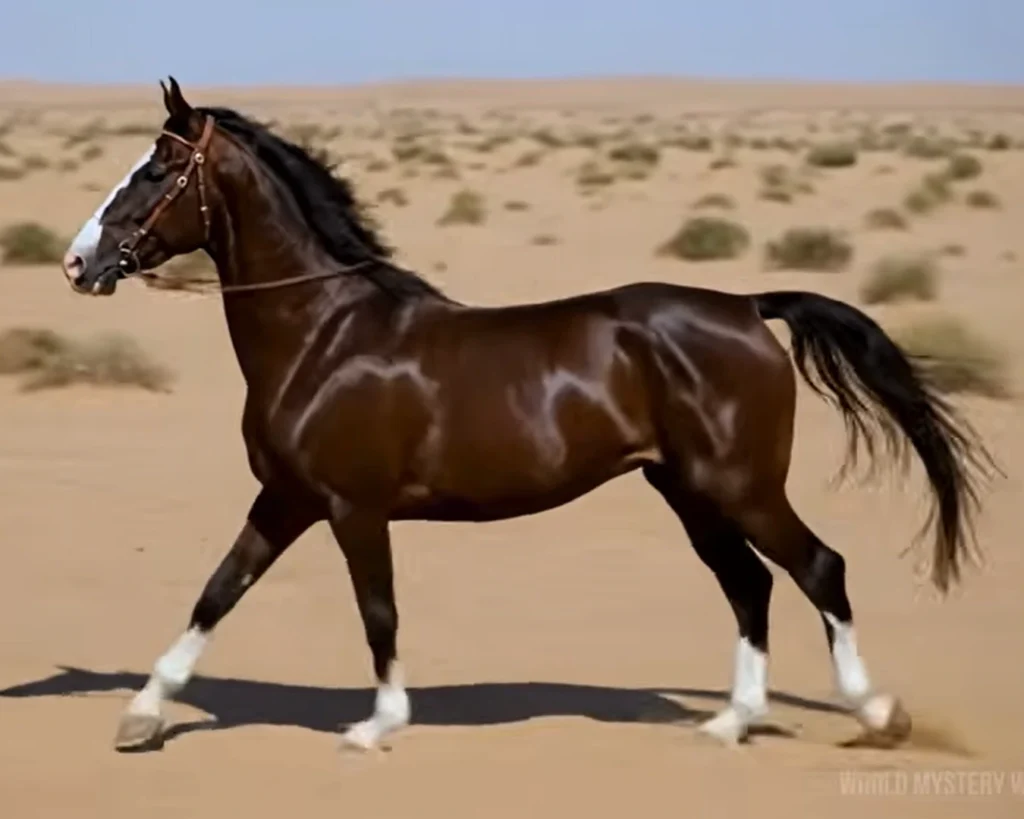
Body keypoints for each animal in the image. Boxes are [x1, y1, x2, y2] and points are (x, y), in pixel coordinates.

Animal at [60, 77, 997, 753]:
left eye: (155, 170)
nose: (78, 263)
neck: (325, 334)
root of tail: (744, 306)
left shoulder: (352, 508)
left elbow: (377, 609)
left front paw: (378, 724)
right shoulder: (285, 499)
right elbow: (217, 592)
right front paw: (141, 715)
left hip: (741, 485)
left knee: (818, 568)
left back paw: (878, 713)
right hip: (687, 490)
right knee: (751, 583)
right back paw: (732, 720)